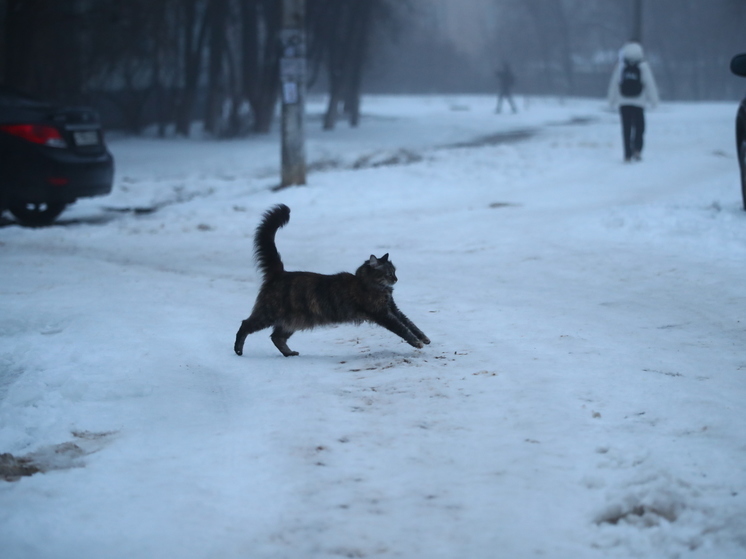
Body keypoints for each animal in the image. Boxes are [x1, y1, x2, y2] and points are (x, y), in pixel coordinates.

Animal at [232, 203, 430, 356]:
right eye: (389, 273)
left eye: (394, 271)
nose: (396, 279)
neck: (368, 283)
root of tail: (280, 272)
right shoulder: (382, 313)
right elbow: (402, 329)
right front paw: (417, 342)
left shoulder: (393, 309)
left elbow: (410, 324)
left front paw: (424, 338)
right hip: (268, 313)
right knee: (245, 325)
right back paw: (238, 350)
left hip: (292, 321)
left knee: (276, 337)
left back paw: (289, 353)